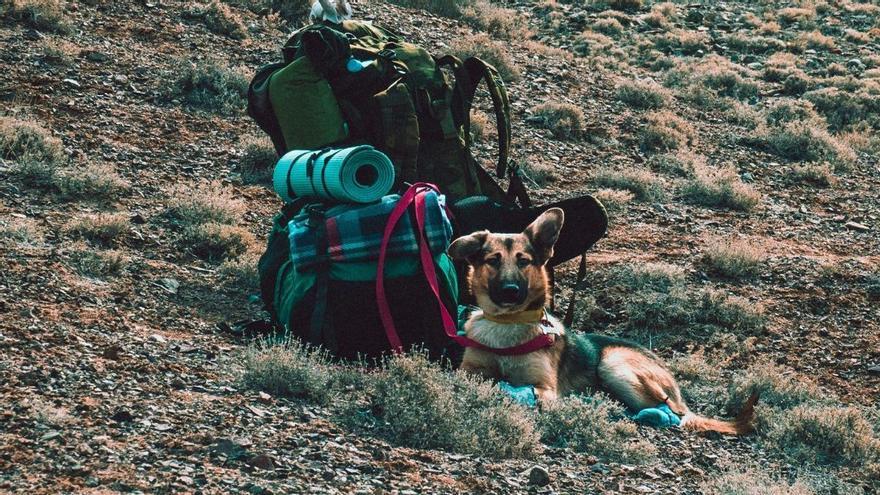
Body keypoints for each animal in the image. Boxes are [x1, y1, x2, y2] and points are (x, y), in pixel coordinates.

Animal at [446, 208, 756, 434]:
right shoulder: (470, 369)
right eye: (493, 260)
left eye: (524, 261)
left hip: (614, 365)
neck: (507, 325)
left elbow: (530, 392)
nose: (511, 291)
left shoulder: (545, 387)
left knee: (673, 413)